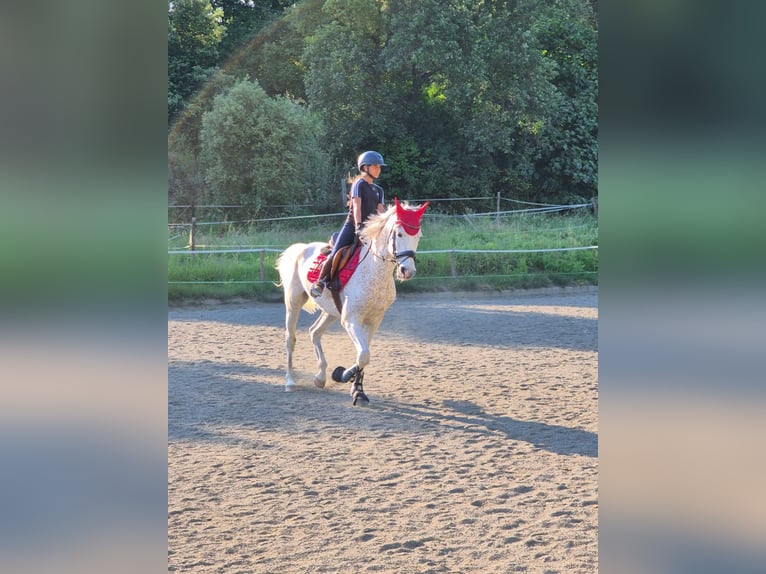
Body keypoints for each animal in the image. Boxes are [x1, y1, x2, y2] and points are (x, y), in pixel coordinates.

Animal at [276, 198, 429, 405]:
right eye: (399, 233)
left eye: (418, 236)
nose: (408, 271)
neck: (374, 270)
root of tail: (300, 248)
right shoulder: (351, 320)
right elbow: (363, 355)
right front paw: (343, 377)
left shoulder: (373, 320)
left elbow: (363, 355)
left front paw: (356, 389)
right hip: (293, 303)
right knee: (290, 339)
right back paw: (290, 381)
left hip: (331, 312)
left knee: (315, 332)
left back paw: (320, 377)